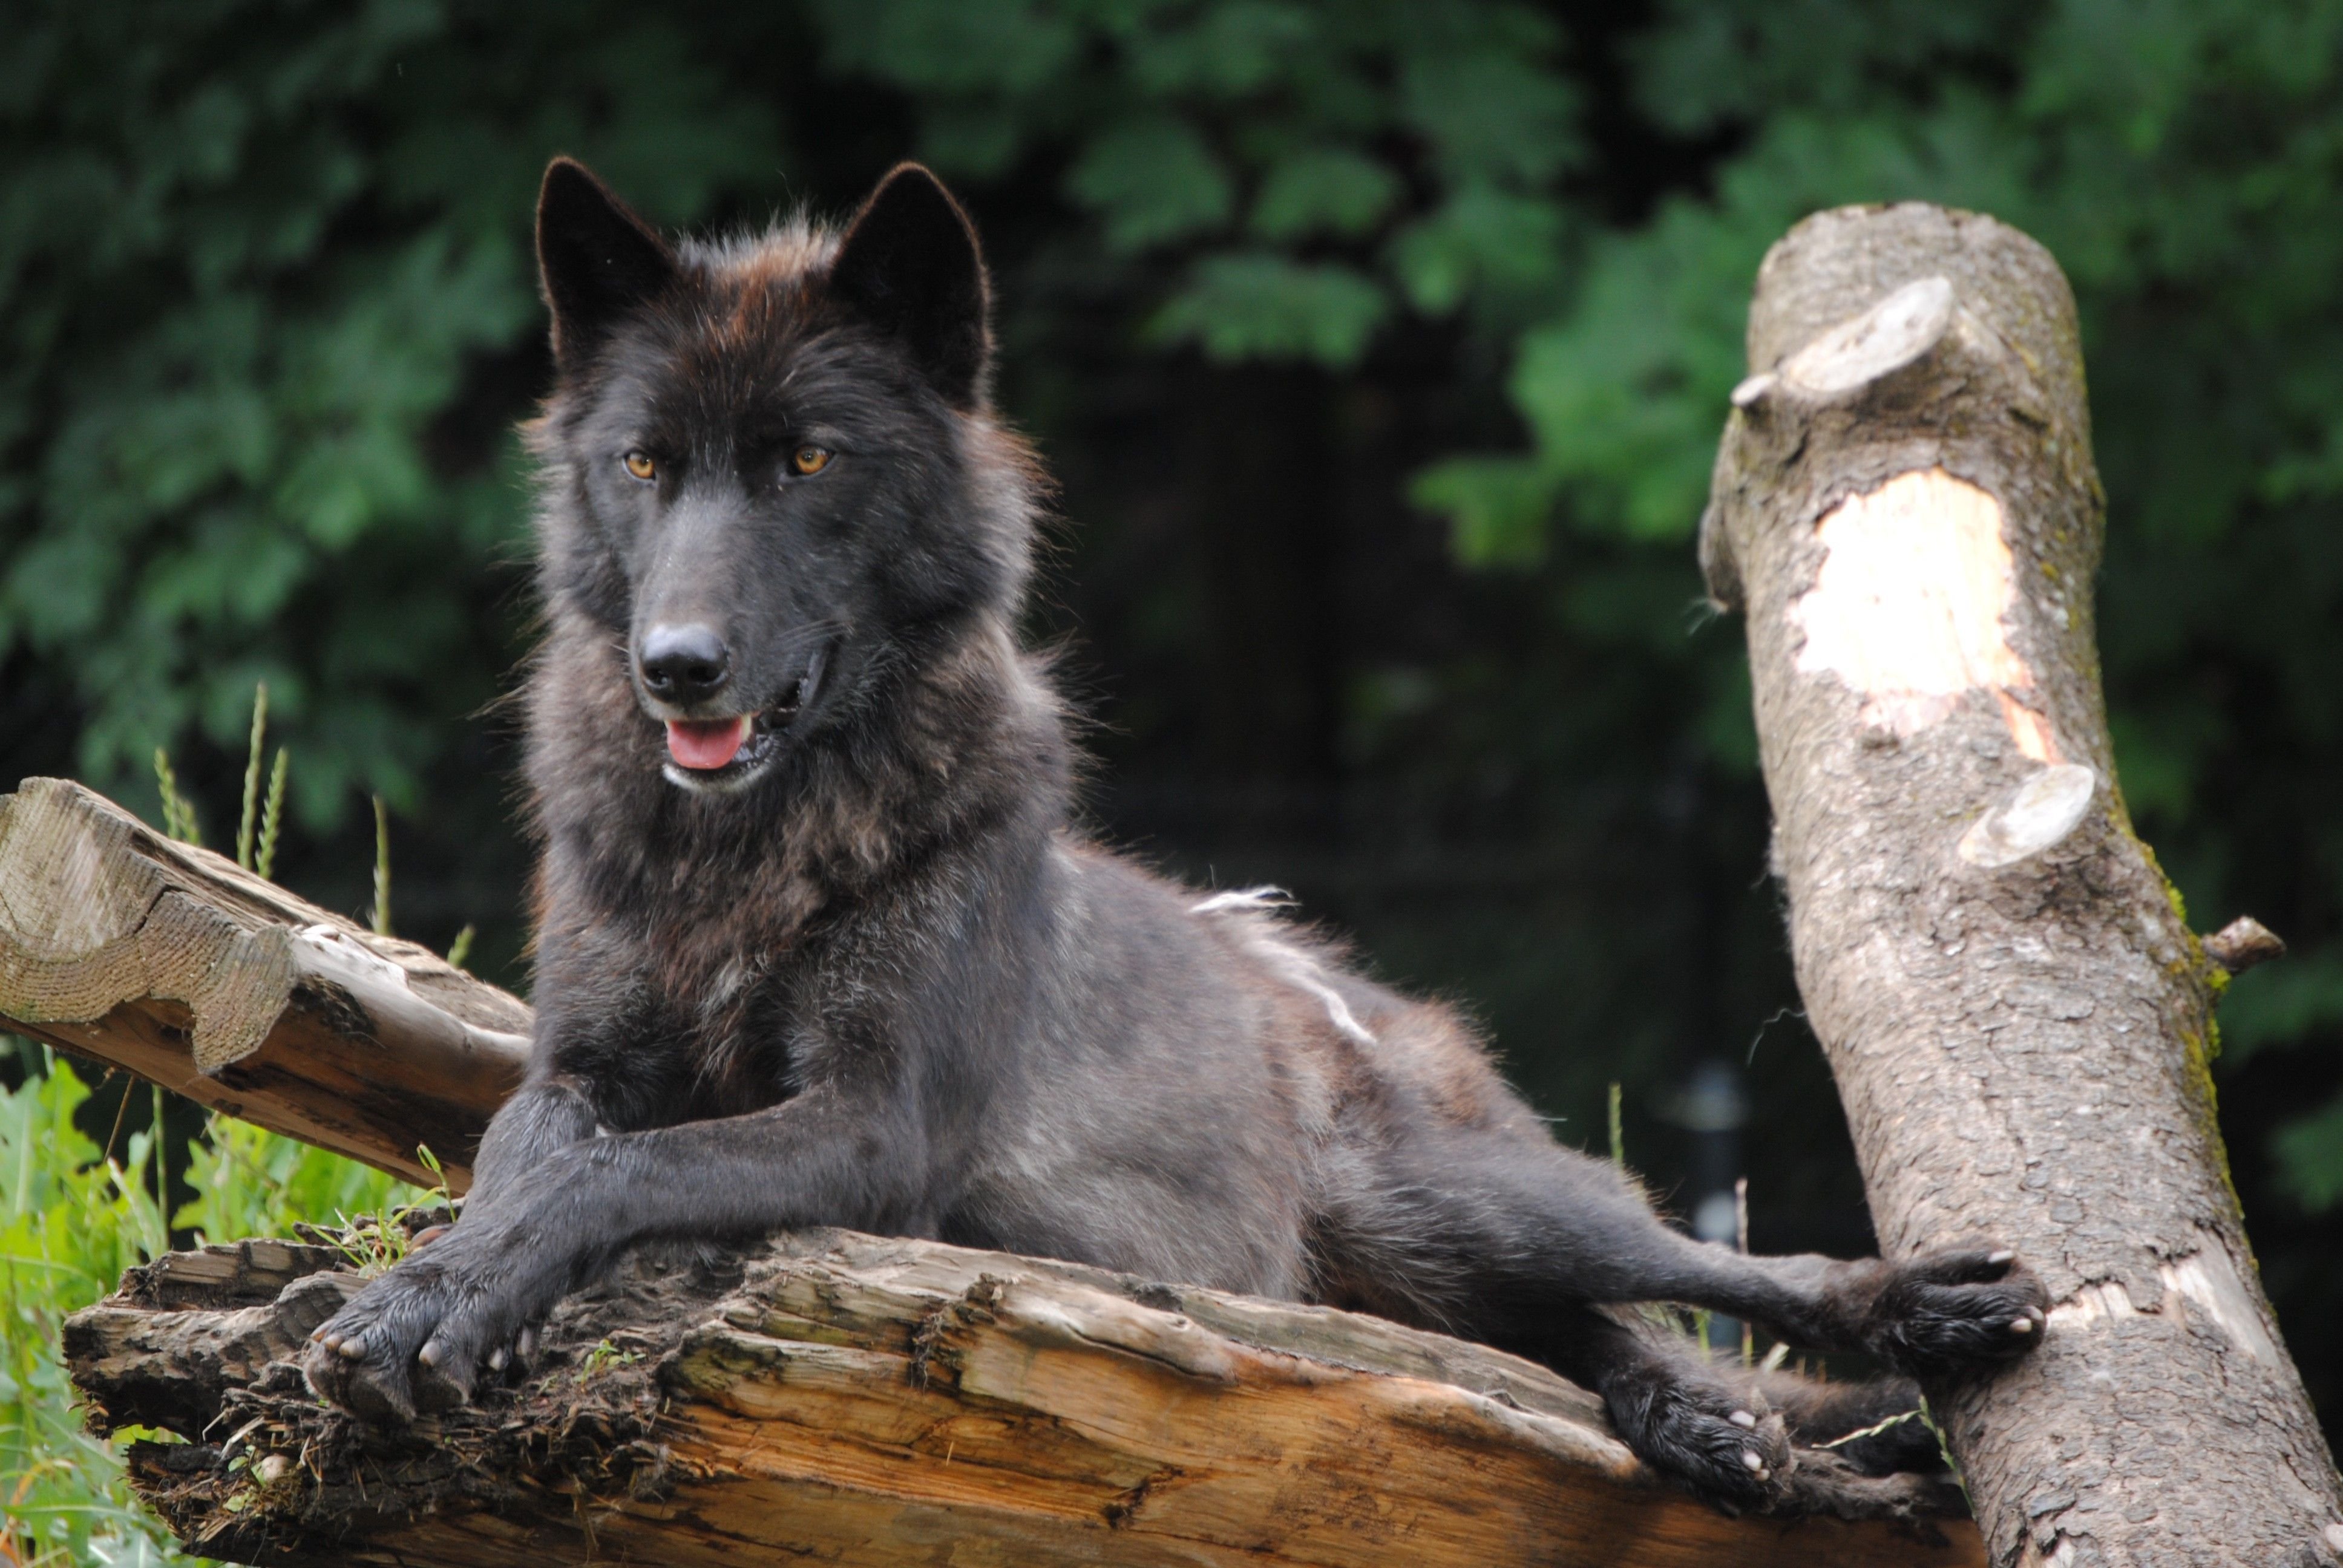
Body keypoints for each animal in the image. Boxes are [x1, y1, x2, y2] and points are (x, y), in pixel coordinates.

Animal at [302, 155, 2043, 1500]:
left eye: (805, 459)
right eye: (645, 465)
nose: (675, 667)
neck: (747, 859)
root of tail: (1341, 980)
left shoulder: (874, 1130)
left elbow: (619, 1178)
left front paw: (438, 1307)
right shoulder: (579, 1070)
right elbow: (530, 1162)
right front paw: (432, 1292)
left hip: (1463, 1202)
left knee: (1701, 1277)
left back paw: (1915, 1317)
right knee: (1584, 1341)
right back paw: (1699, 1423)